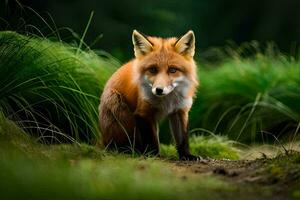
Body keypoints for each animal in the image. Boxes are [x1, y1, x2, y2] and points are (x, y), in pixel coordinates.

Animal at [99, 29, 200, 160]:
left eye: (172, 70)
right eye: (153, 69)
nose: (159, 90)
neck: (168, 101)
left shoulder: (180, 111)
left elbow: (182, 139)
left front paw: (186, 155)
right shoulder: (143, 113)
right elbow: (151, 140)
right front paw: (153, 155)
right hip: (119, 106)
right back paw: (133, 151)